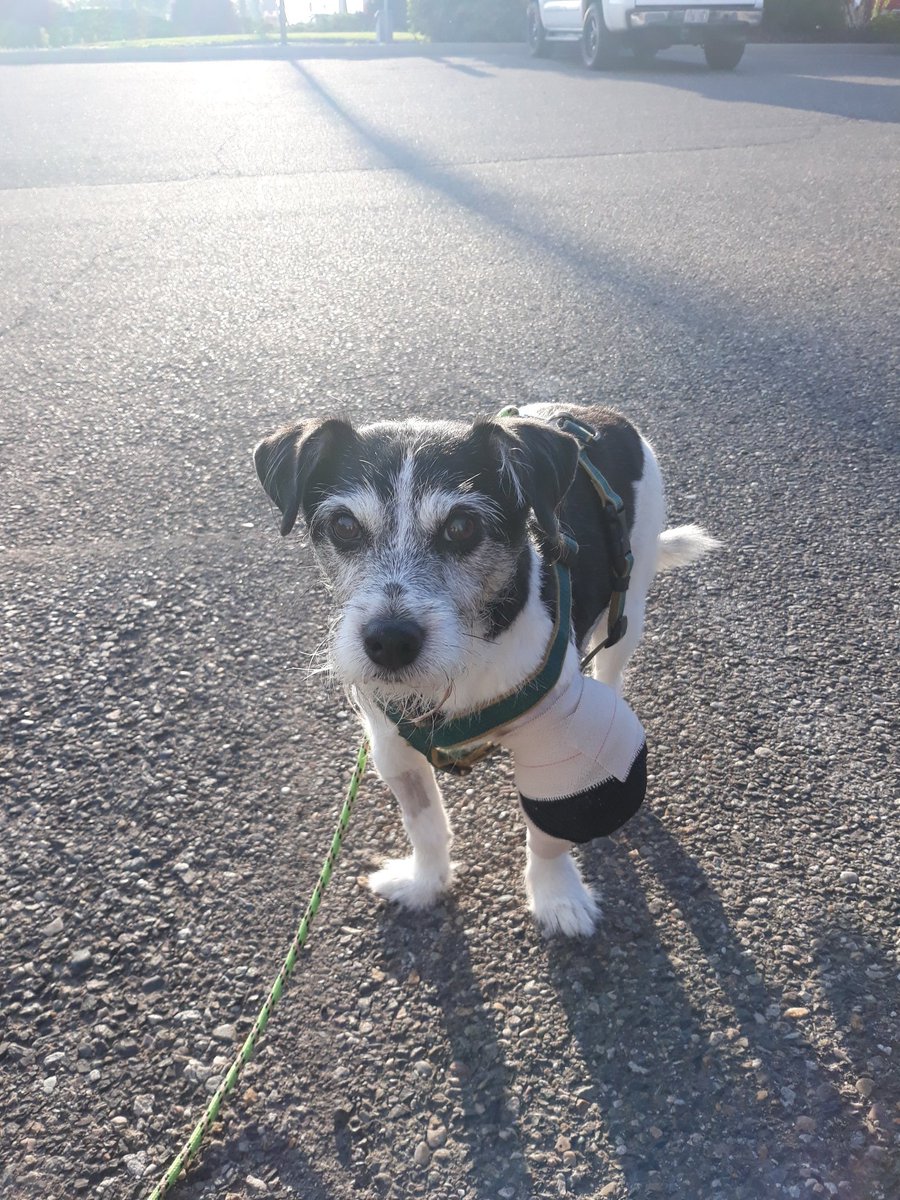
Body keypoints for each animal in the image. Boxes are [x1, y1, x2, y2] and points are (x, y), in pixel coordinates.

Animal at [255, 403, 720, 936]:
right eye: (345, 526)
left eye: (461, 526)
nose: (390, 642)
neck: (466, 659)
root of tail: (595, 414)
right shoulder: (392, 746)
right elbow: (425, 825)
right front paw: (426, 883)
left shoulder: (556, 751)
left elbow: (549, 836)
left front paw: (558, 897)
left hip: (631, 601)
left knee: (612, 666)